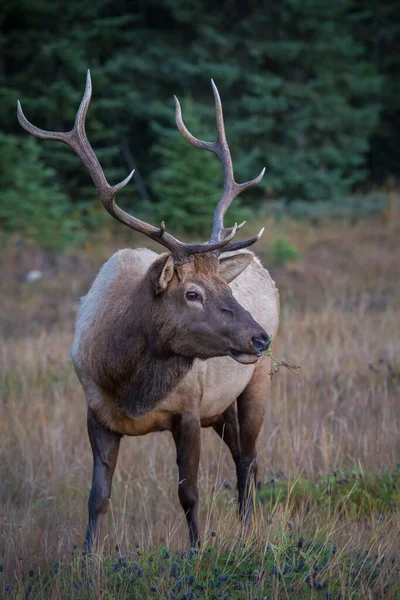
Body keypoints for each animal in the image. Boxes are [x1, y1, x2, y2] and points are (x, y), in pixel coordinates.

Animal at [18, 74, 278, 548]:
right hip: (221, 409)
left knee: (248, 460)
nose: (260, 336)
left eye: (224, 286)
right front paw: (87, 555)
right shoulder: (96, 414)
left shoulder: (189, 410)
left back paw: (249, 530)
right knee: (246, 459)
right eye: (192, 293)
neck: (129, 382)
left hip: (256, 384)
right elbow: (97, 496)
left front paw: (197, 550)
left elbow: (189, 493)